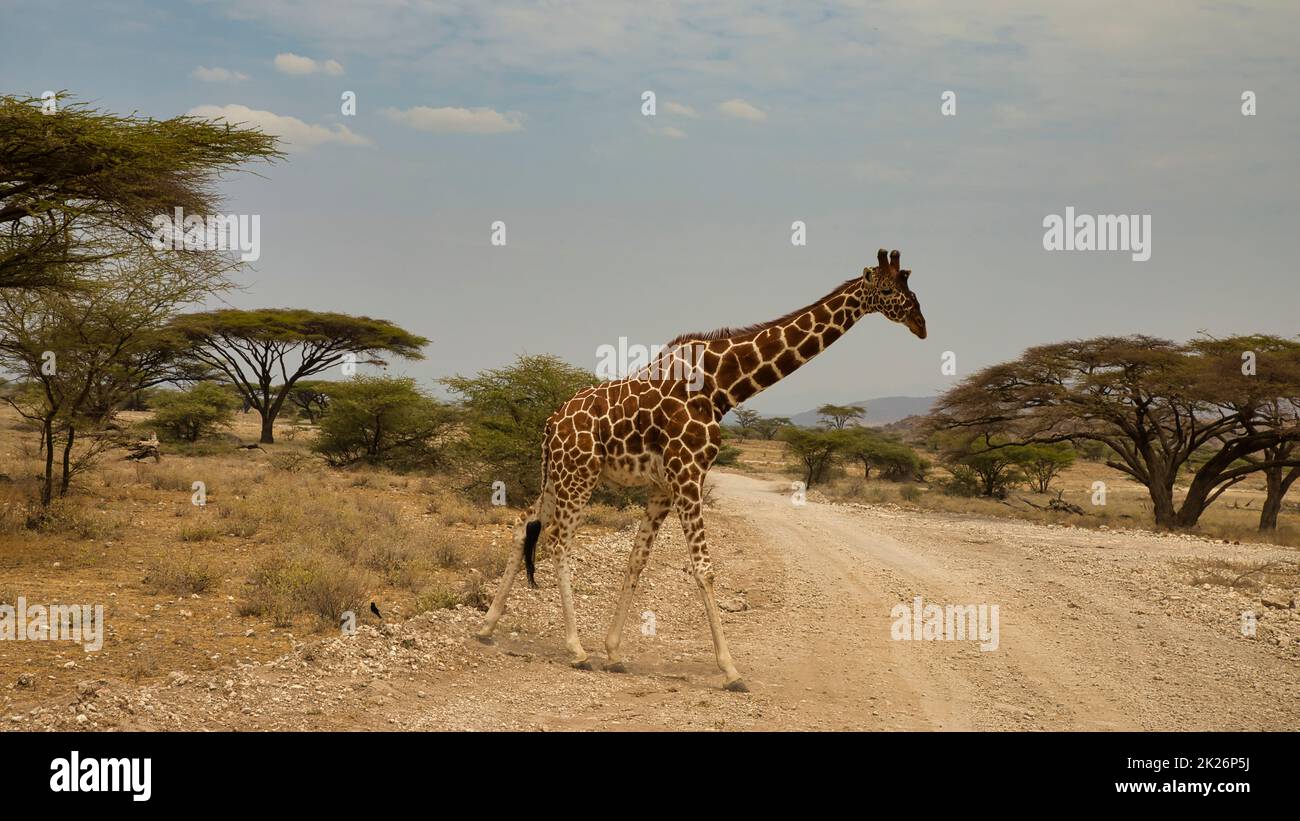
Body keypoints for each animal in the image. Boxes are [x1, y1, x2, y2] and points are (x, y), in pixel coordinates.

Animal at [476, 248, 927, 691]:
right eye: (889, 290)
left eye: (909, 285)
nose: (921, 324)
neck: (722, 388)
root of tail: (551, 422)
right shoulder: (689, 473)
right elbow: (704, 569)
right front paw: (730, 670)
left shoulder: (663, 485)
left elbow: (637, 560)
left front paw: (615, 651)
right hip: (579, 473)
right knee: (558, 541)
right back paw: (575, 649)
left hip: (557, 473)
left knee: (523, 526)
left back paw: (487, 627)